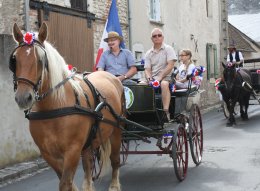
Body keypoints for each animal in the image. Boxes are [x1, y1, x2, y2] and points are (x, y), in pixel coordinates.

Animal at [9, 22, 125, 191]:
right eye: (15, 60)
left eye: (41, 60)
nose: (23, 98)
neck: (53, 108)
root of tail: (112, 77)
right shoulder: (48, 153)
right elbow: (67, 182)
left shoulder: (72, 150)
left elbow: (65, 183)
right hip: (89, 142)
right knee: (88, 164)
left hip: (116, 131)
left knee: (115, 160)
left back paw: (114, 185)